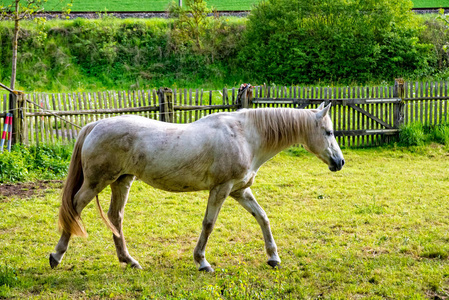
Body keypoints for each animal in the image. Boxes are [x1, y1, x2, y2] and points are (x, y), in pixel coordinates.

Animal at [49, 102, 344, 272]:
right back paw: (56, 256)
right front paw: (202, 261)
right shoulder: (222, 189)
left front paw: (273, 258)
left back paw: (129, 261)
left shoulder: (240, 190)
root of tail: (95, 124)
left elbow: (262, 217)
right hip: (97, 182)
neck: (246, 135)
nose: (339, 162)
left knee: (115, 217)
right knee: (75, 207)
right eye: (328, 132)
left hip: (122, 181)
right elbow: (209, 224)